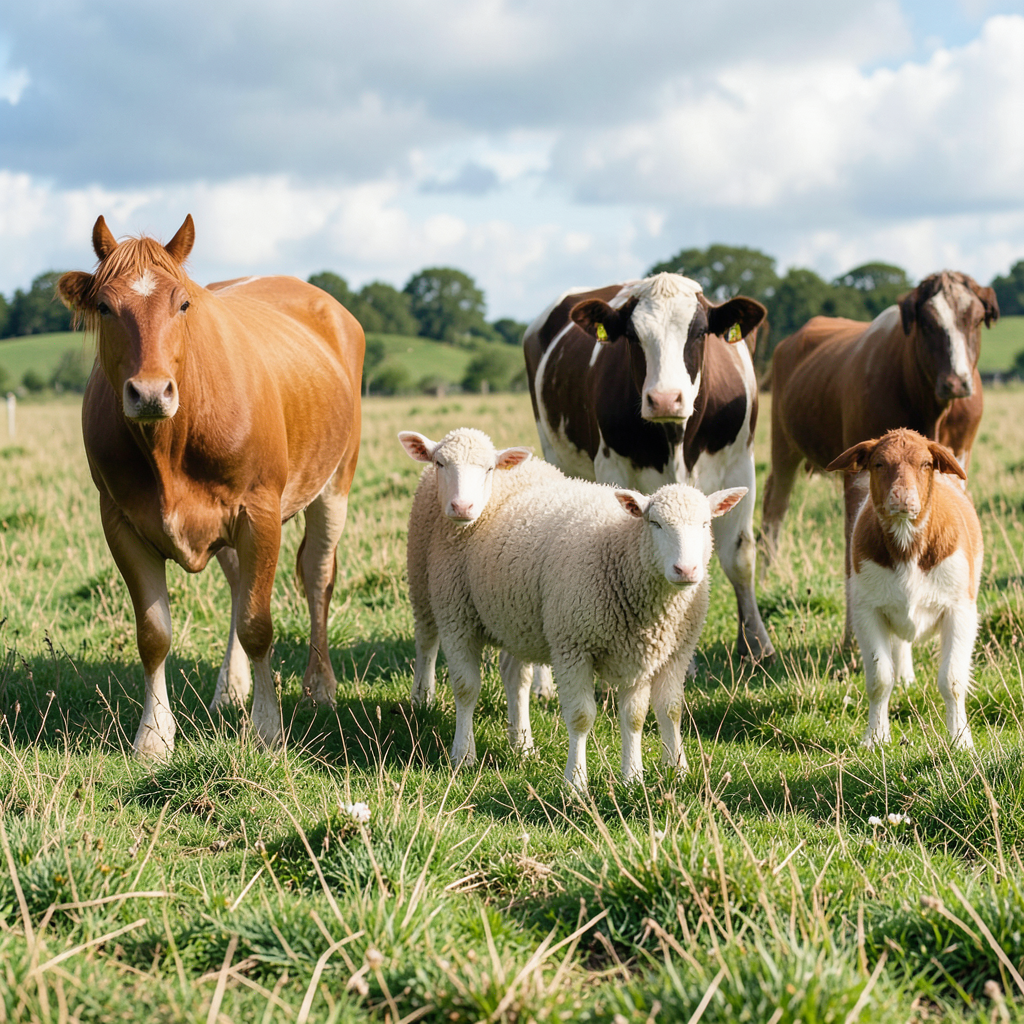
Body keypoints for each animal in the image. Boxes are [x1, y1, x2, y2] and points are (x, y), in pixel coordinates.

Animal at [57, 215, 364, 757]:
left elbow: (258, 624)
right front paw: (154, 736)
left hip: (335, 482)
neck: (167, 447)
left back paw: (320, 685)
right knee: (241, 583)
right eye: (104, 307)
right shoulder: (118, 520)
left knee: (316, 575)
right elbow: (153, 634)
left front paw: (267, 729)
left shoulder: (260, 511)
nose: (151, 392)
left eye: (183, 304)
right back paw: (230, 687)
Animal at [524, 271, 773, 662]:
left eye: (699, 332)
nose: (665, 399)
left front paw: (756, 644)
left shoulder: (739, 465)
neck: (676, 438)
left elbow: (740, 557)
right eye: (632, 335)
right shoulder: (614, 469)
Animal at [762, 270, 998, 637]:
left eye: (974, 320)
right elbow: (853, 550)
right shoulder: (861, 473)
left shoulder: (958, 458)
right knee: (775, 505)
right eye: (927, 323)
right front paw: (852, 637)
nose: (957, 382)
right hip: (782, 443)